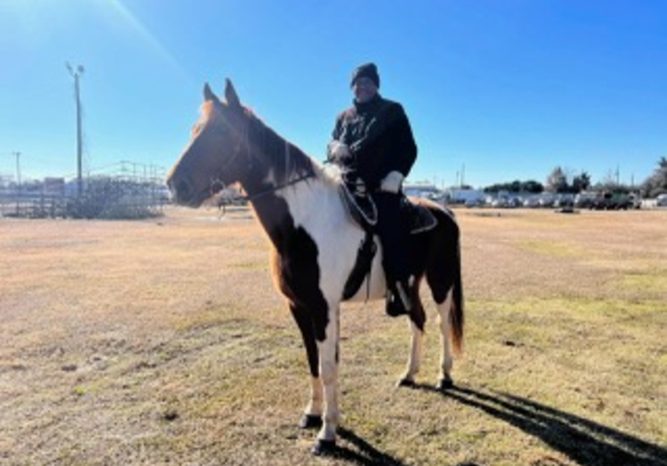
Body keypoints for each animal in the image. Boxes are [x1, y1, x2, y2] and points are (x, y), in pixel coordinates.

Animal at [166, 79, 464, 455]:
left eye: (220, 131)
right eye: (195, 130)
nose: (175, 185)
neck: (303, 223)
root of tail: (444, 212)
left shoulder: (324, 309)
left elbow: (328, 366)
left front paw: (328, 432)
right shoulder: (299, 307)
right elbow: (312, 362)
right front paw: (312, 414)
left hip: (441, 280)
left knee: (442, 322)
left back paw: (444, 376)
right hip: (408, 283)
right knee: (418, 320)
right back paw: (409, 374)